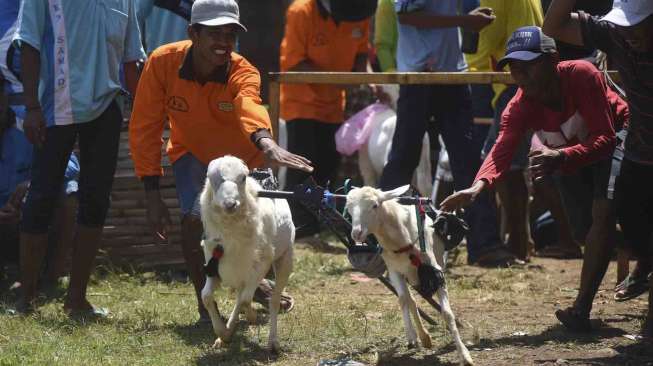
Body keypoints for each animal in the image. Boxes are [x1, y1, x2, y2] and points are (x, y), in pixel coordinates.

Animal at [196, 155, 292, 352]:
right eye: (211, 178)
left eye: (243, 178)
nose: (230, 204)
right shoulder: (213, 264)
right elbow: (207, 296)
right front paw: (223, 333)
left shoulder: (260, 264)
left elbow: (246, 299)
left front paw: (251, 318)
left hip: (284, 259)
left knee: (273, 299)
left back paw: (273, 341)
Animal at [344, 186, 472, 366]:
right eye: (349, 208)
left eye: (375, 205)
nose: (356, 233)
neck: (402, 241)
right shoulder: (394, 271)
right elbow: (405, 300)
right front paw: (416, 336)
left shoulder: (435, 272)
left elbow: (447, 313)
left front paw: (465, 355)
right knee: (408, 299)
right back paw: (420, 337)